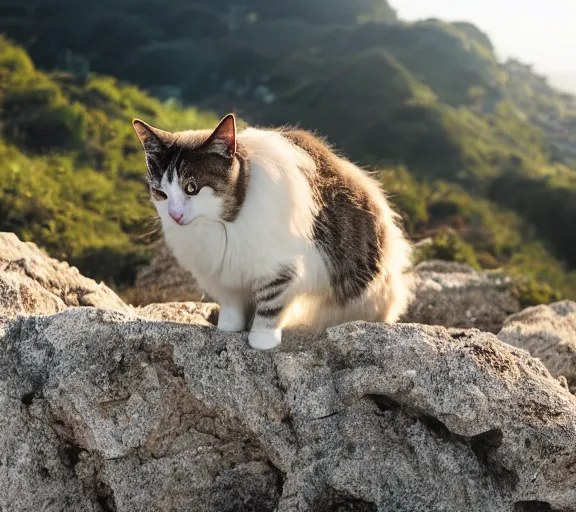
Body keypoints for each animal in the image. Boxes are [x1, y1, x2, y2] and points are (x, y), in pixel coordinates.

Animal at [134, 114, 414, 350]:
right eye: (160, 193)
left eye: (191, 188)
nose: (175, 215)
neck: (224, 223)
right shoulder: (221, 276)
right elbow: (232, 305)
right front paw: (228, 327)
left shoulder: (280, 270)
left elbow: (270, 306)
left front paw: (261, 340)